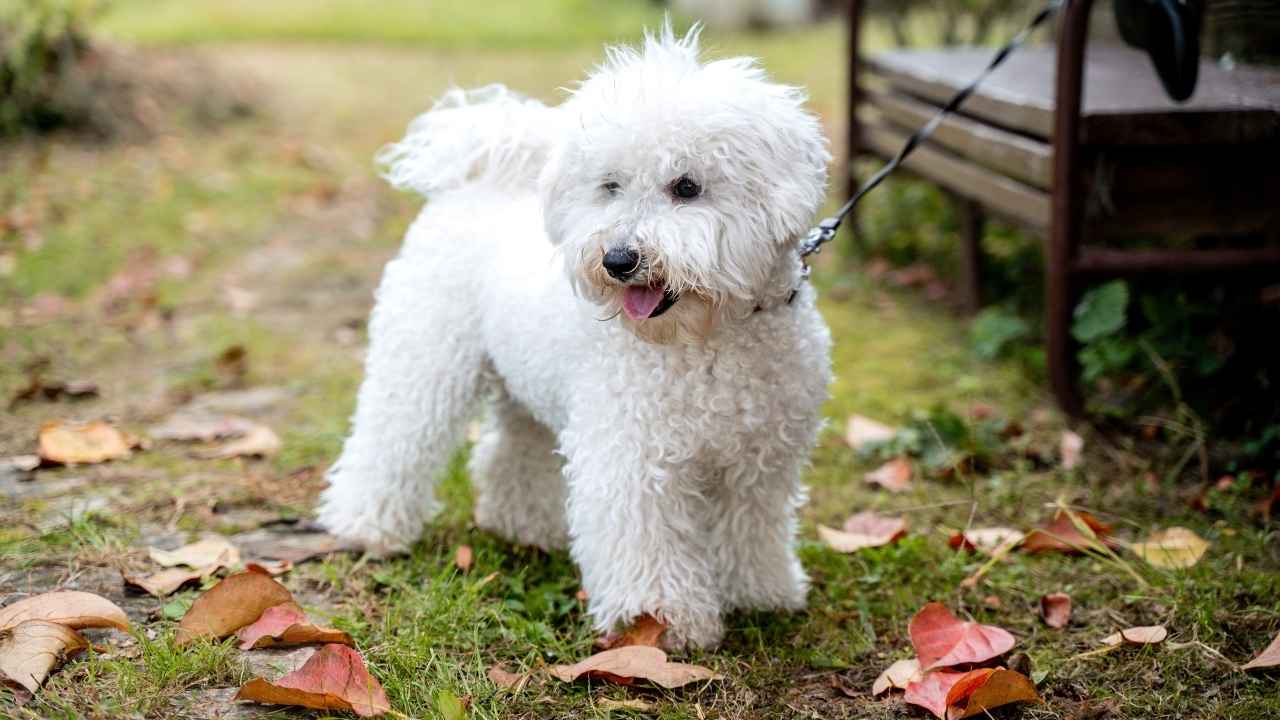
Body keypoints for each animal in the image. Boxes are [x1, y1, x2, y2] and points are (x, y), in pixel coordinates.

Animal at [320, 25, 834, 648]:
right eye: (610, 186)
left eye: (687, 186)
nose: (618, 260)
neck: (706, 339)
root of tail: (476, 184)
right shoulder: (633, 455)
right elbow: (646, 541)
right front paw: (659, 620)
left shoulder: (761, 461)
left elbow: (752, 529)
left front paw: (760, 593)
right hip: (424, 358)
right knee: (393, 438)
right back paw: (366, 526)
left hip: (526, 385)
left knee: (510, 450)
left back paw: (522, 524)